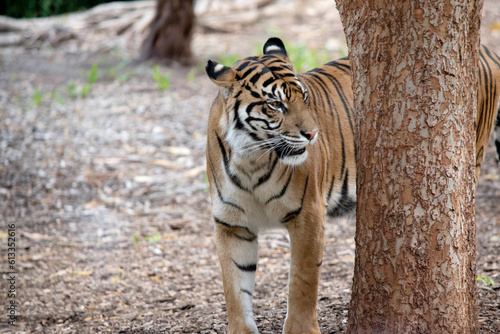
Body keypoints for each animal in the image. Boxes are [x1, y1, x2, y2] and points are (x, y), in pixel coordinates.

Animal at [204, 37, 500, 334]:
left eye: (304, 97)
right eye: (275, 104)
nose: (312, 134)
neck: (250, 158)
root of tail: (486, 49)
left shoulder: (308, 213)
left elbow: (302, 282)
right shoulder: (232, 224)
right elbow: (235, 288)